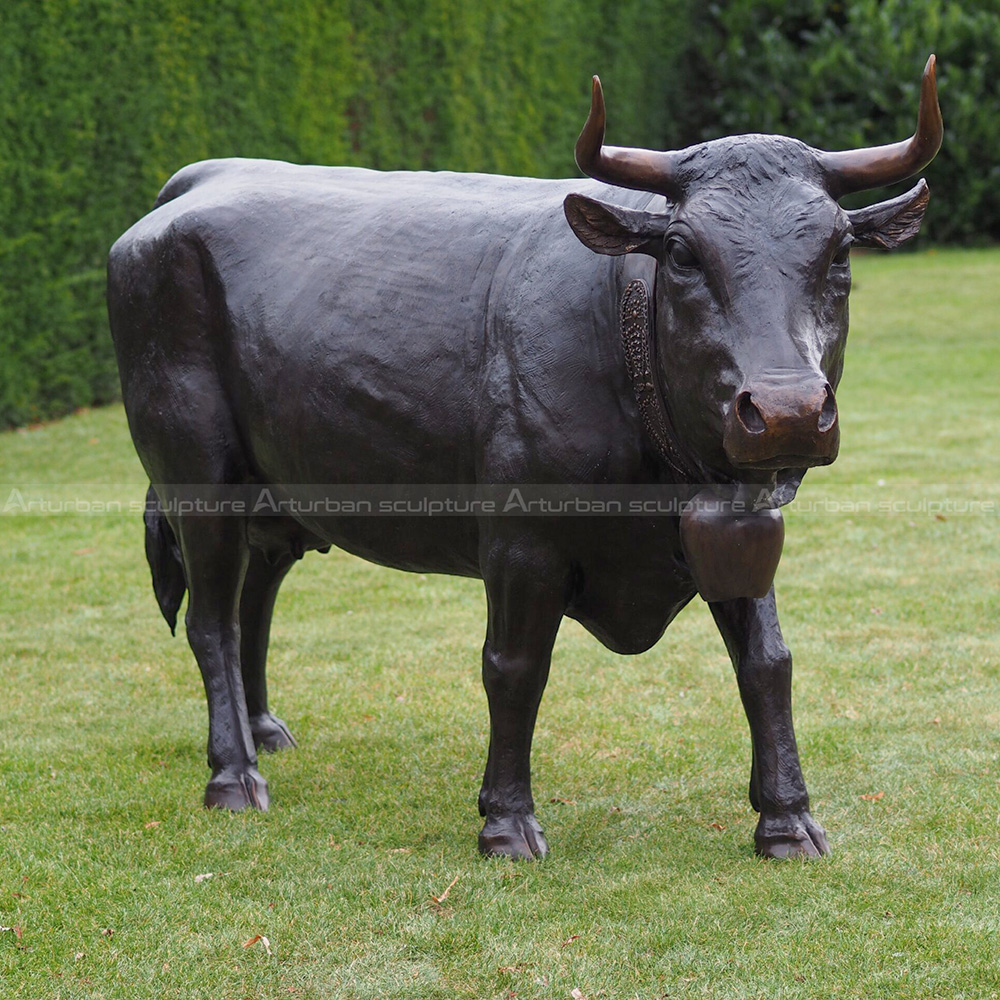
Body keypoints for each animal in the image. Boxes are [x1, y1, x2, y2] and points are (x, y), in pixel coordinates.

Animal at [107, 57, 941, 860]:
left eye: (839, 251)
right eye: (681, 251)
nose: (787, 411)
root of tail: (187, 191)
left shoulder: (742, 524)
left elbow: (768, 662)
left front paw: (788, 820)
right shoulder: (519, 542)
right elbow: (513, 667)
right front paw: (506, 822)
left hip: (278, 495)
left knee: (253, 599)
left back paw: (262, 731)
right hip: (196, 477)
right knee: (211, 619)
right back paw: (233, 773)